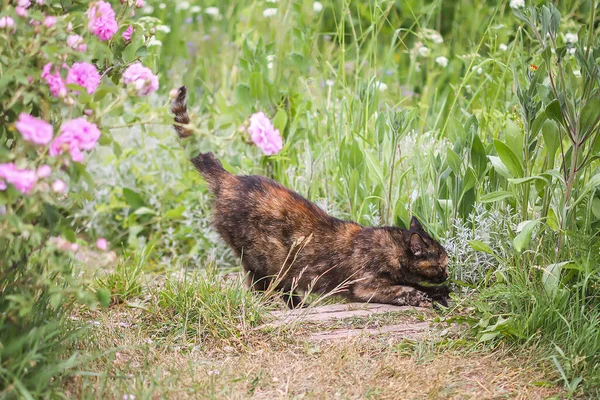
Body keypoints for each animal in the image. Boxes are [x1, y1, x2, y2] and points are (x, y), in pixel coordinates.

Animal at [171, 86, 448, 308]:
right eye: (442, 264)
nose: (447, 275)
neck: (392, 246)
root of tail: (231, 179)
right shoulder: (365, 285)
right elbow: (403, 290)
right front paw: (423, 297)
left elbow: (416, 284)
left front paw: (439, 292)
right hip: (267, 259)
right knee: (262, 286)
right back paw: (294, 305)